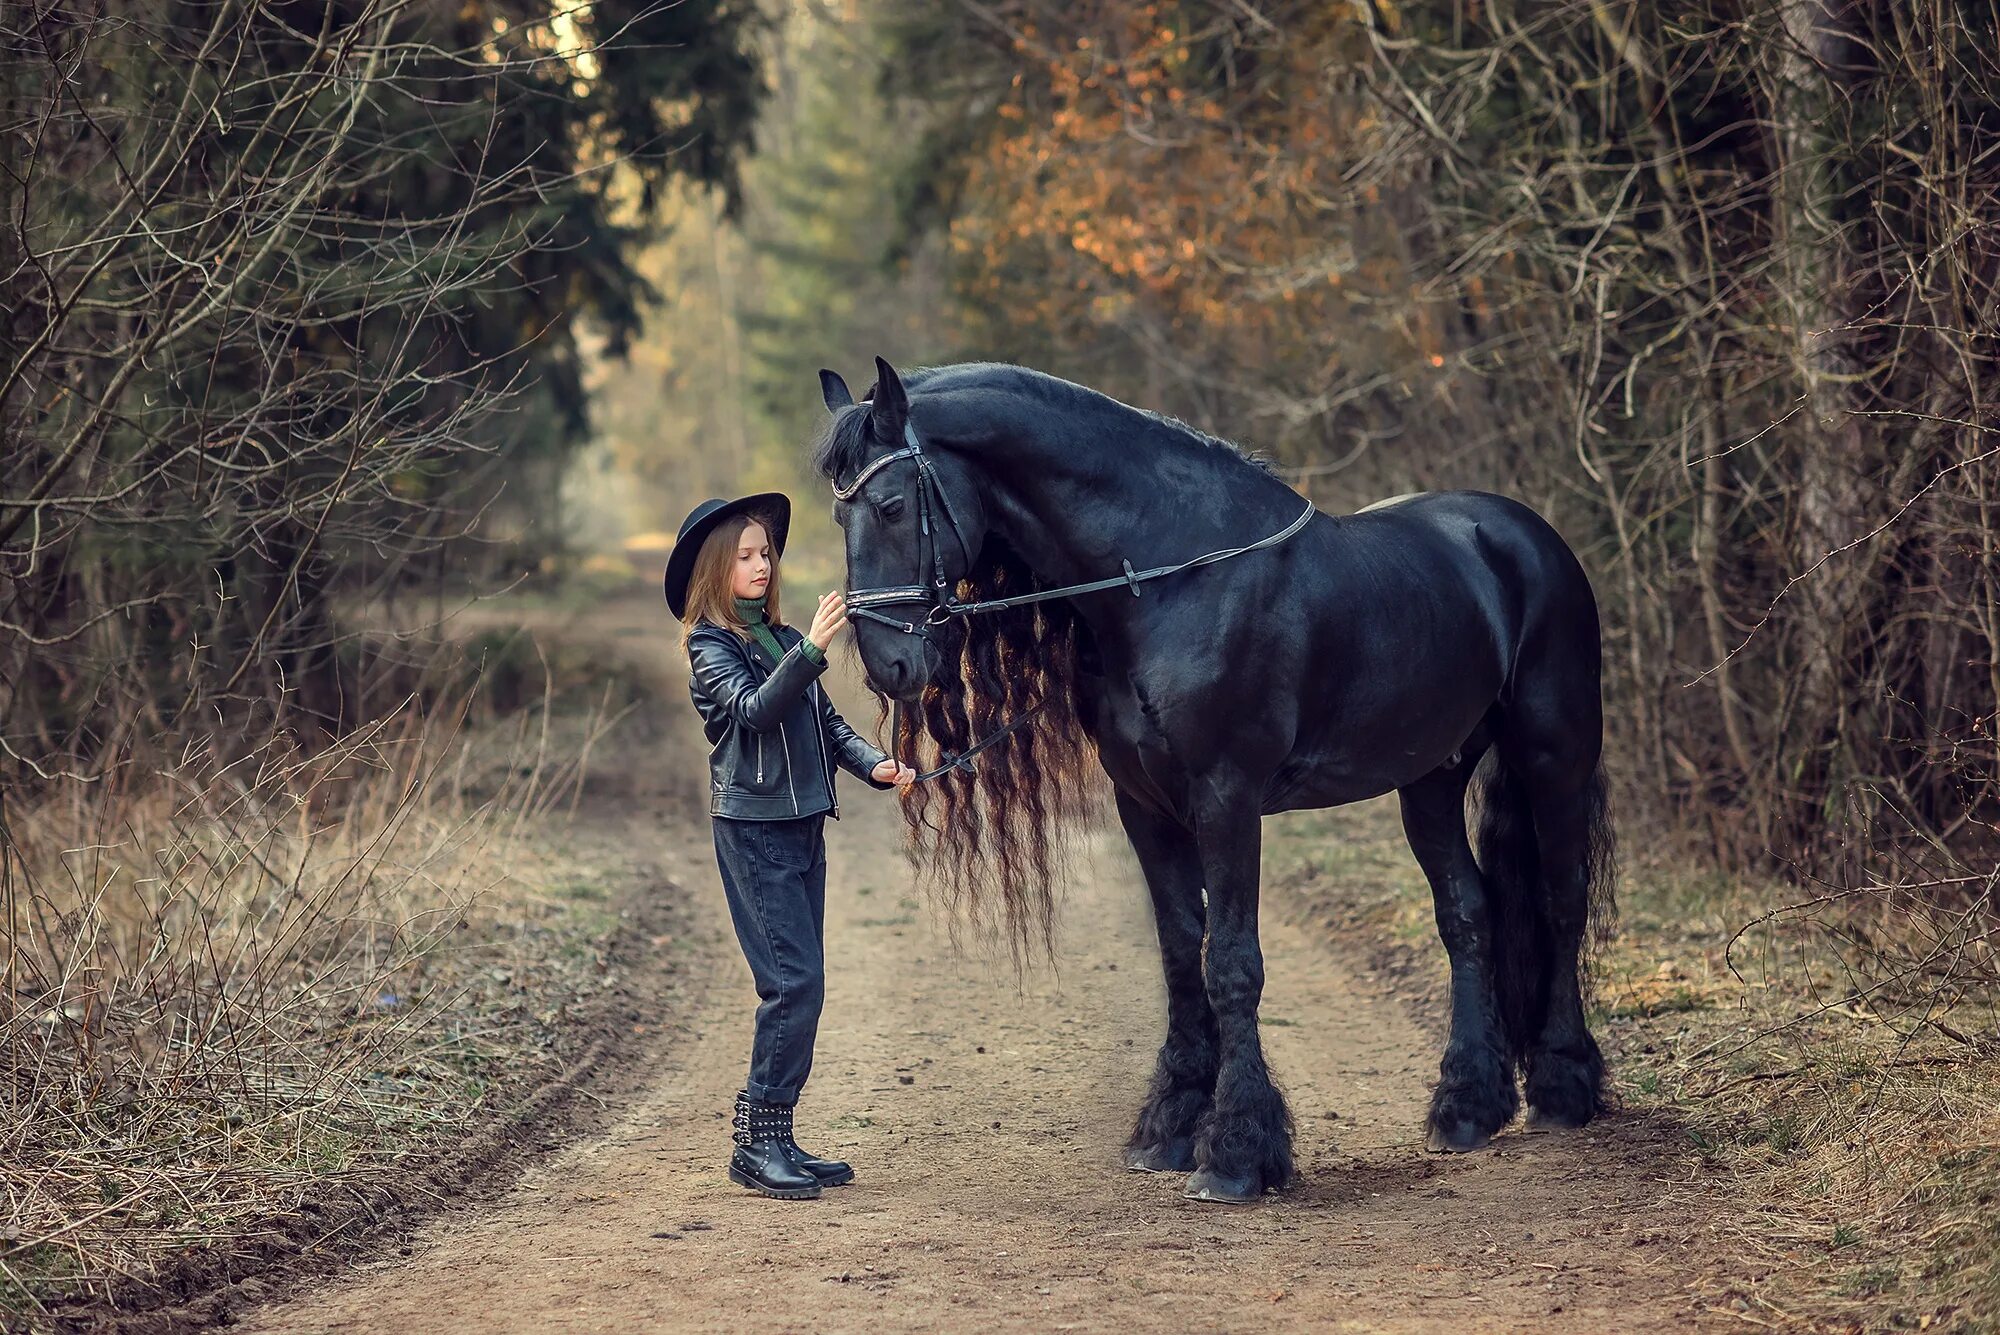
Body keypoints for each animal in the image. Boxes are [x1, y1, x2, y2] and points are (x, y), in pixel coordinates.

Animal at [812, 359, 1608, 1207]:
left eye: (893, 506)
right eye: (839, 515)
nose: (888, 663)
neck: (1171, 579)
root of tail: (1523, 534)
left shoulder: (1227, 797)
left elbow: (1231, 962)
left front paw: (1236, 1152)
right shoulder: (1145, 806)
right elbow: (1179, 954)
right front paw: (1169, 1127)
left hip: (1552, 754)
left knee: (1562, 901)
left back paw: (1563, 1086)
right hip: (1430, 777)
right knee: (1467, 913)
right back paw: (1467, 1107)